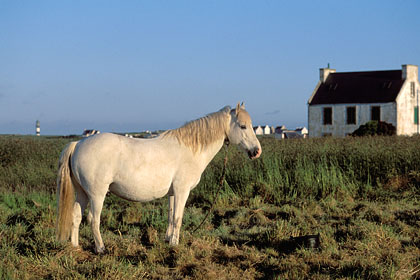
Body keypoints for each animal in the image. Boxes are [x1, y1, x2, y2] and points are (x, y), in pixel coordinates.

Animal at [55, 103, 260, 254]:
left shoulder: (173, 193)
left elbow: (171, 216)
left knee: (76, 216)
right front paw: (175, 245)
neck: (190, 149)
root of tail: (78, 143)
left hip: (82, 193)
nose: (257, 152)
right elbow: (178, 217)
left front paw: (168, 240)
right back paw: (100, 248)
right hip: (97, 194)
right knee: (93, 219)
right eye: (243, 126)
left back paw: (75, 247)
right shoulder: (182, 191)